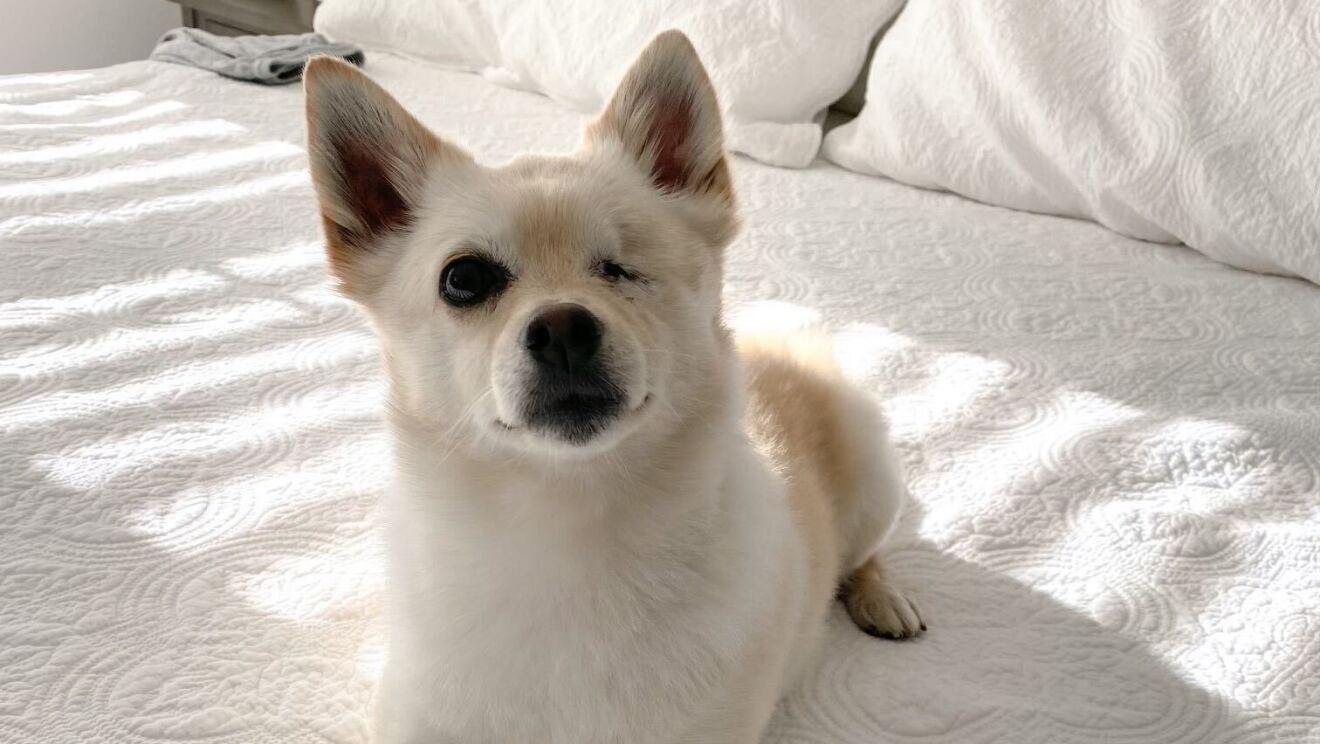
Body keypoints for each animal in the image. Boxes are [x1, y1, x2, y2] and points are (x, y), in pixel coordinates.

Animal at [303, 31, 924, 744]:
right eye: (463, 279)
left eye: (625, 268)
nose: (562, 327)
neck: (566, 527)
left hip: (876, 482)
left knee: (865, 553)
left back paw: (883, 597)